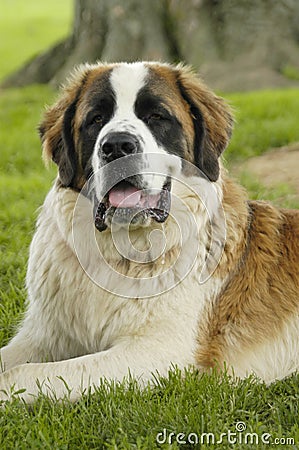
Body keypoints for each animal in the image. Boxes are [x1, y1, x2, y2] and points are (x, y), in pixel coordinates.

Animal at [0, 61, 299, 402]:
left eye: (156, 117)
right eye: (96, 119)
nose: (117, 145)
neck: (120, 251)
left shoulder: (160, 352)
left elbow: (25, 373)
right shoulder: (48, 335)